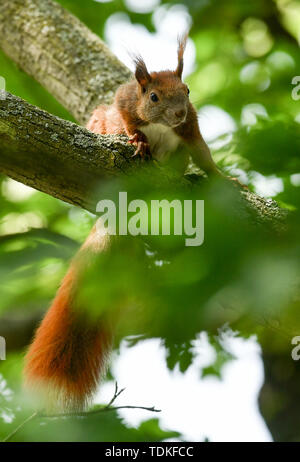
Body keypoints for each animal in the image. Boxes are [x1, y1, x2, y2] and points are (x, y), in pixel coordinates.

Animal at [24, 36, 223, 412]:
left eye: (188, 91)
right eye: (153, 97)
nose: (178, 113)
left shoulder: (190, 129)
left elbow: (204, 155)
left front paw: (228, 181)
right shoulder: (125, 103)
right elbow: (127, 123)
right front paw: (138, 141)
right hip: (100, 119)